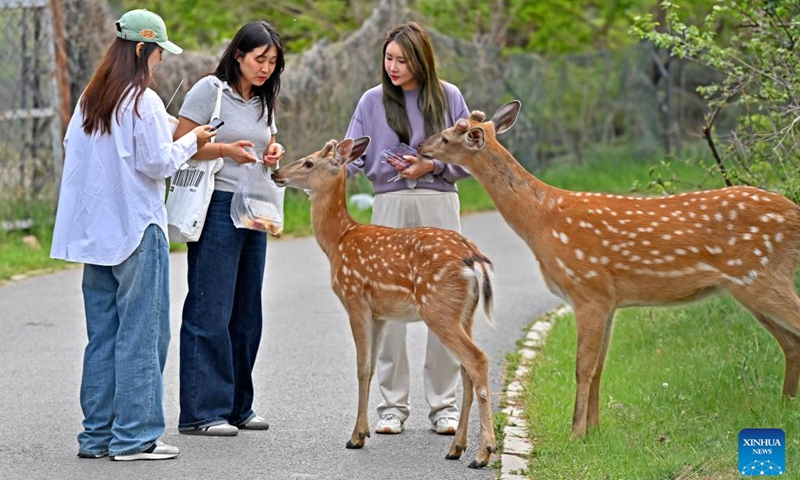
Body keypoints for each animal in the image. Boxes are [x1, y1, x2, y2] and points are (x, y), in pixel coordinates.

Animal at [271, 137, 497, 468]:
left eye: (309, 162)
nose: (276, 174)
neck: (338, 240)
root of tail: (474, 259)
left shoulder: (354, 298)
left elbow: (361, 367)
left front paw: (355, 437)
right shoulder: (379, 314)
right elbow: (372, 367)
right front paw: (363, 432)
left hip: (437, 306)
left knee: (477, 359)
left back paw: (482, 453)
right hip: (465, 312)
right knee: (467, 370)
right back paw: (456, 448)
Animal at [417, 100, 800, 440]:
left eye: (447, 136)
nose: (420, 145)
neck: (542, 222)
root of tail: (794, 214)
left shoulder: (588, 290)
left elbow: (583, 366)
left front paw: (575, 433)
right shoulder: (610, 301)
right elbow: (600, 367)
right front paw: (595, 430)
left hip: (760, 275)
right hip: (749, 286)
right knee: (790, 341)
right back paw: (785, 405)